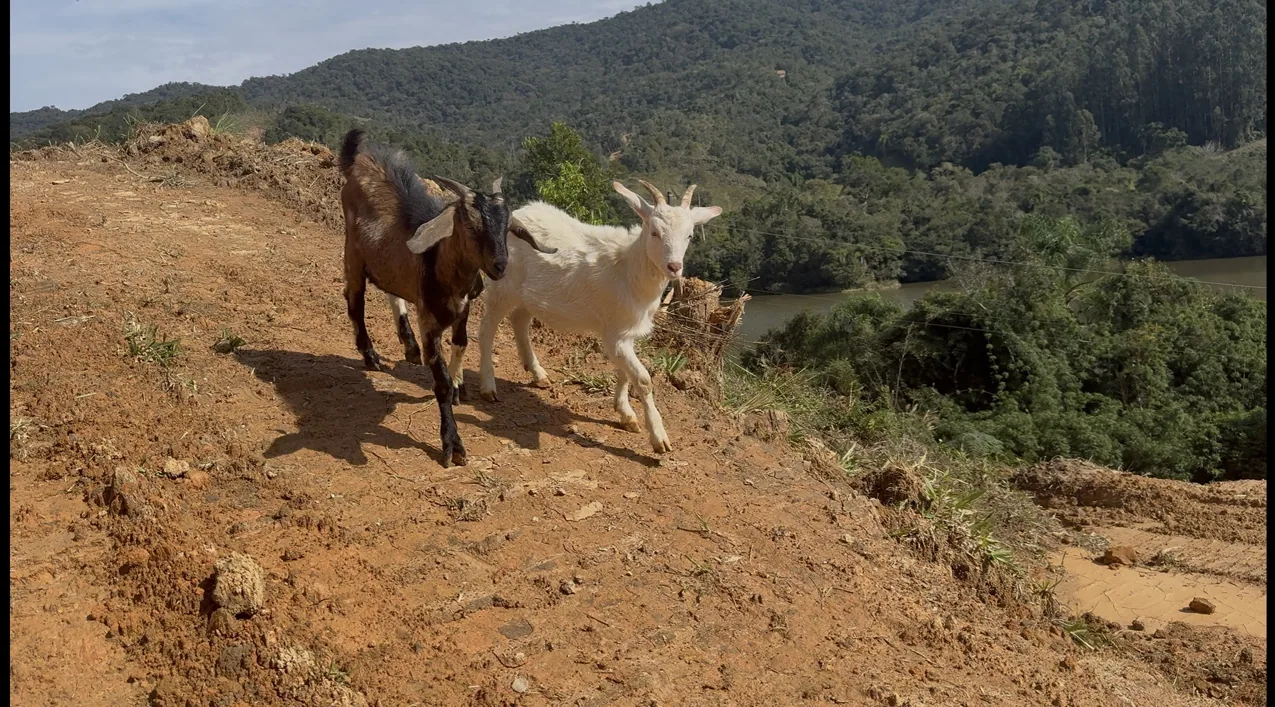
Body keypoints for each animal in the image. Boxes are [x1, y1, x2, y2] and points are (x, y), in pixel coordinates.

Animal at [337, 129, 557, 467]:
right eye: (468, 223)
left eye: (507, 227)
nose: (500, 265)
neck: (442, 266)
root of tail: (357, 160)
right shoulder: (429, 321)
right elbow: (438, 379)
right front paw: (453, 443)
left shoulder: (464, 309)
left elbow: (462, 344)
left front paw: (458, 385)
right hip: (353, 251)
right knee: (354, 299)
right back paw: (370, 355)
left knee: (389, 289)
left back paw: (408, 345)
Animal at [473, 180, 722, 453]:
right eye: (655, 232)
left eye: (689, 235)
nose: (674, 267)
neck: (628, 269)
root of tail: (515, 216)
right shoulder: (615, 334)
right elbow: (642, 379)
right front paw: (659, 438)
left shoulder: (626, 332)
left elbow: (625, 373)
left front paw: (626, 414)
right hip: (502, 285)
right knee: (487, 329)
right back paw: (488, 387)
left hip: (528, 294)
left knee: (519, 320)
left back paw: (538, 373)